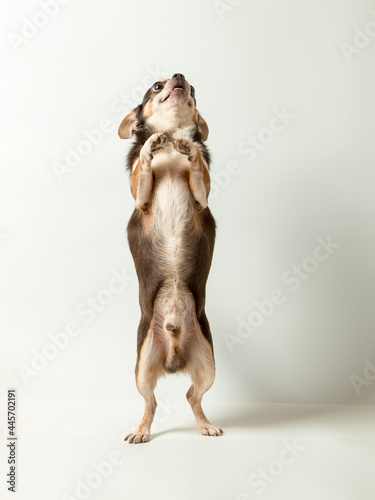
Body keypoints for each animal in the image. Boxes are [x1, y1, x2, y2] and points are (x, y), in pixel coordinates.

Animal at [119, 73, 223, 442]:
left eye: (192, 90)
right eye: (156, 86)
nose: (180, 77)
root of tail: (174, 353)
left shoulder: (203, 197)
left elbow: (198, 169)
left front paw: (188, 147)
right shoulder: (140, 198)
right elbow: (144, 166)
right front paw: (152, 145)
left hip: (207, 364)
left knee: (193, 396)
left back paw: (205, 424)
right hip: (142, 367)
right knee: (151, 403)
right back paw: (141, 431)